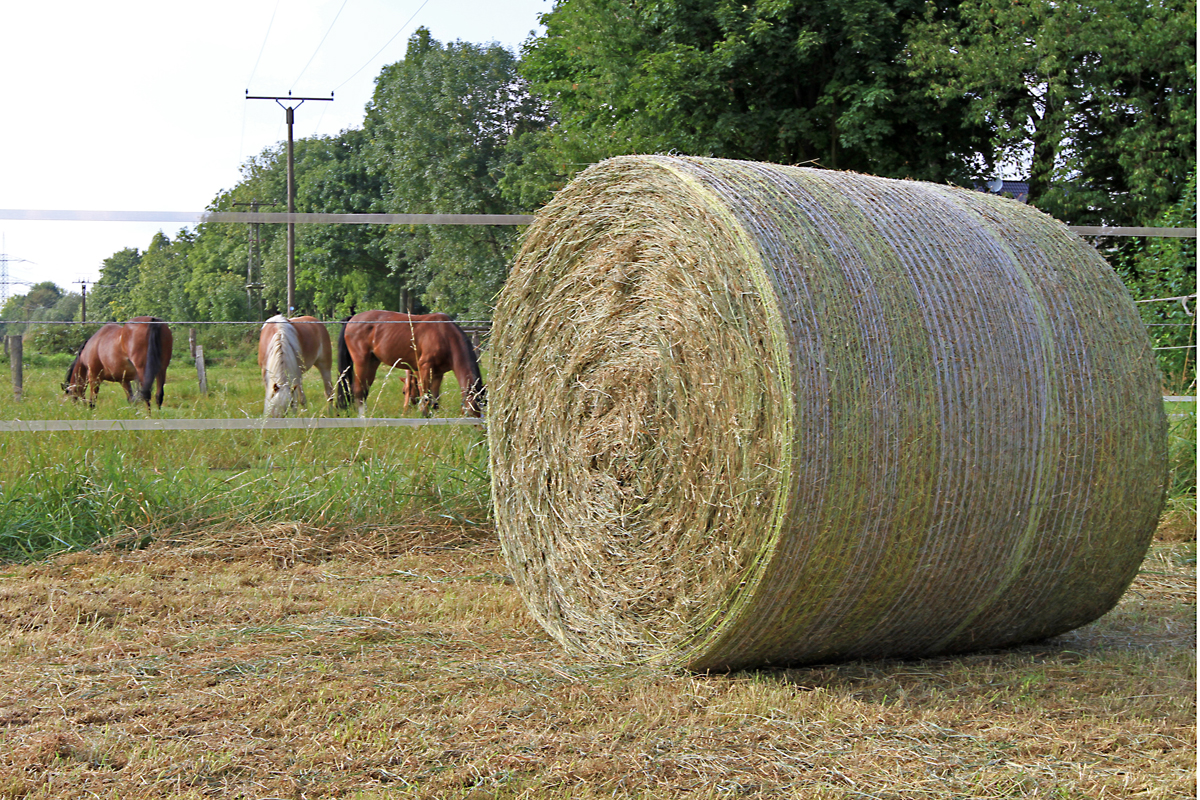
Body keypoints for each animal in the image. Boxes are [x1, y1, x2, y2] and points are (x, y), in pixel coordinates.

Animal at [333, 309, 482, 417]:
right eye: (472, 410)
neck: (445, 335)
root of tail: (352, 319)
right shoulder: (424, 367)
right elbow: (425, 395)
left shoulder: (438, 373)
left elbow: (434, 400)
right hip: (361, 362)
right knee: (358, 391)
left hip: (372, 363)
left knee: (363, 390)